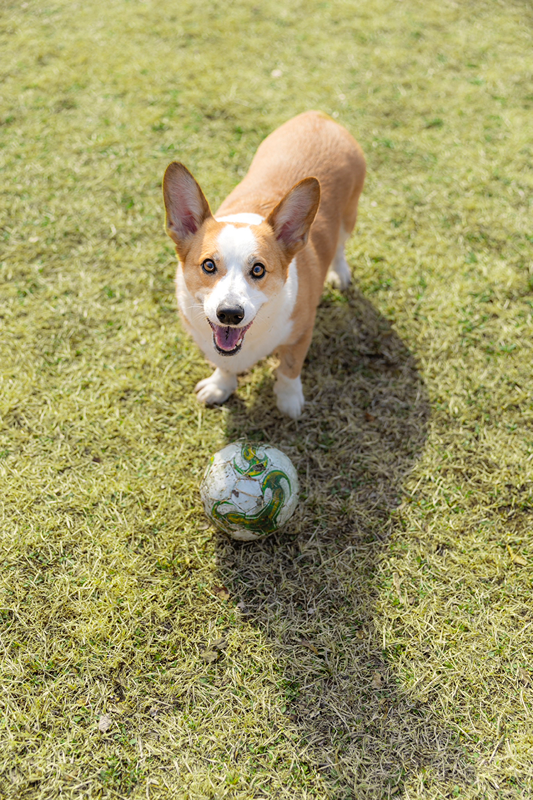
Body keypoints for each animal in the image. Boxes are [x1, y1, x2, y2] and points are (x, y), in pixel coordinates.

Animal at [162, 111, 366, 418]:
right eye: (208, 265)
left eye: (258, 269)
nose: (230, 314)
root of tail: (318, 116)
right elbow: (223, 363)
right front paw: (220, 387)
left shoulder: (300, 334)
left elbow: (290, 368)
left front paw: (289, 400)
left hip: (349, 215)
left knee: (340, 245)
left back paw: (339, 273)